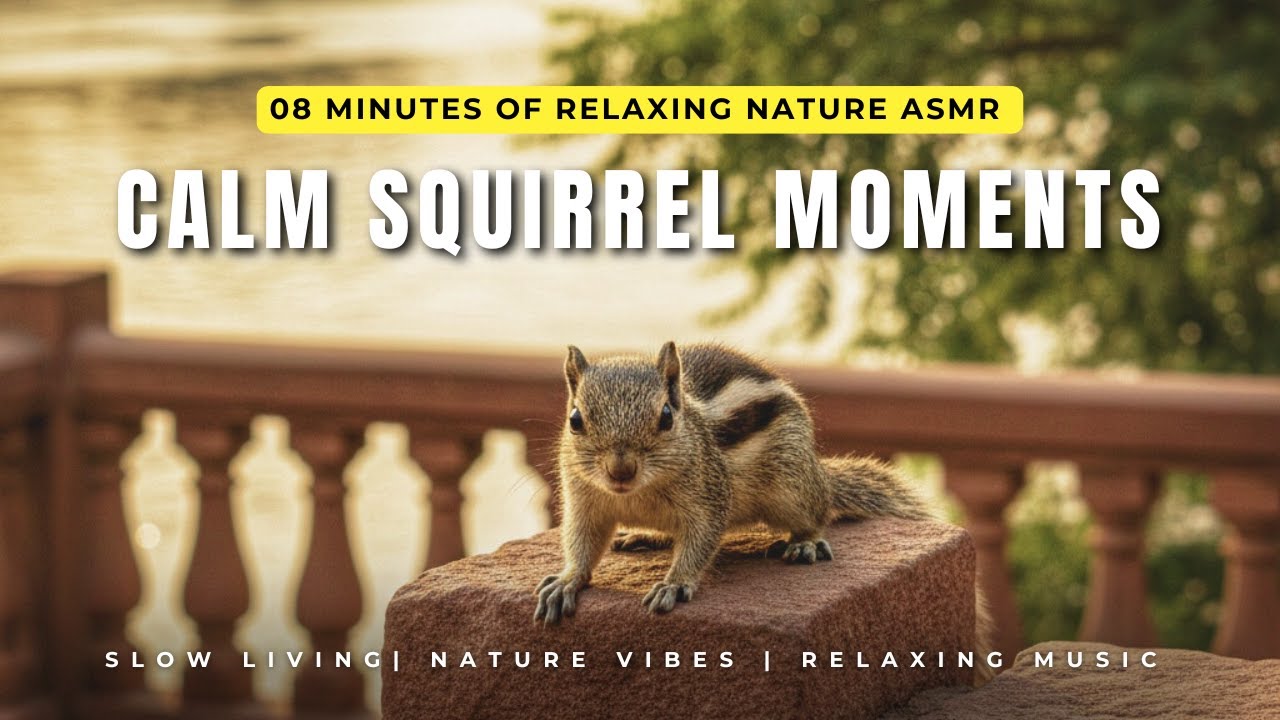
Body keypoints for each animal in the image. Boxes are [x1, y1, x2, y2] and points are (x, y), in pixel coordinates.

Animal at [533, 342, 994, 683]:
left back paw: (805, 544)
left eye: (665, 416)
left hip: (792, 487)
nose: (620, 469)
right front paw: (568, 580)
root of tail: (818, 473)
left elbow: (700, 539)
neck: (636, 493)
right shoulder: (584, 500)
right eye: (576, 419)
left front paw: (675, 583)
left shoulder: (708, 496)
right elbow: (581, 542)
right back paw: (646, 535)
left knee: (817, 513)